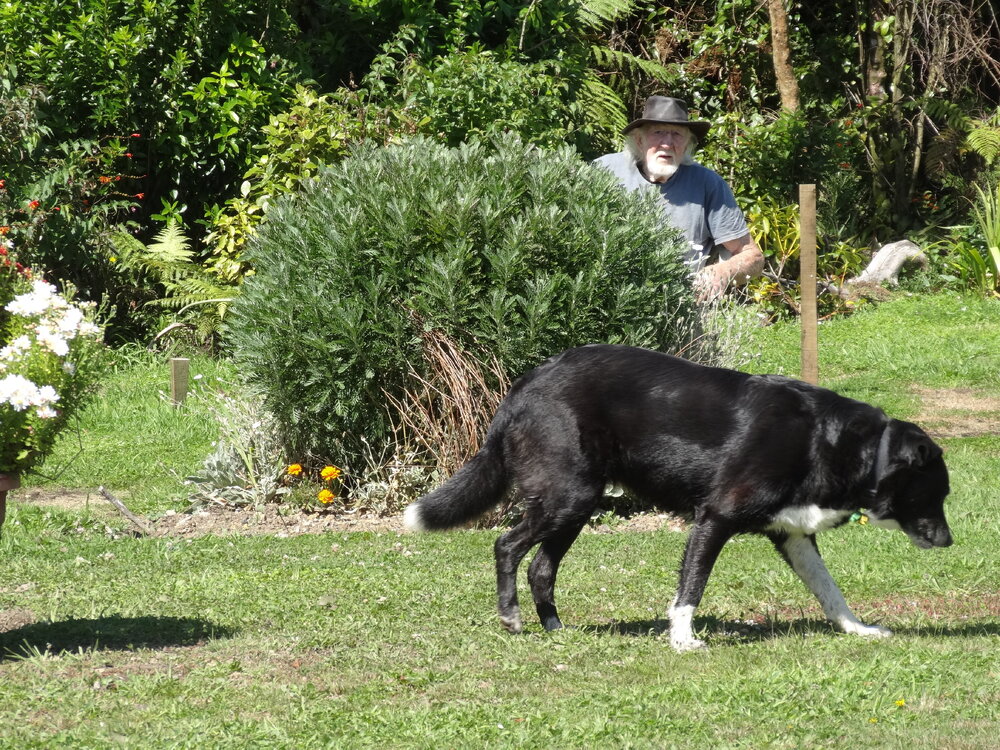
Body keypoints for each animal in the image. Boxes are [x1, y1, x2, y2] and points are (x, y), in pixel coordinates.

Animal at [403, 344, 952, 651]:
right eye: (938, 492)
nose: (949, 542)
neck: (841, 443)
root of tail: (525, 384)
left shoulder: (793, 536)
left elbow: (830, 590)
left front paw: (857, 630)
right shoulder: (714, 518)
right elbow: (691, 589)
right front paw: (683, 641)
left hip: (577, 504)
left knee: (541, 566)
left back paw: (556, 629)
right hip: (566, 497)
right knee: (507, 546)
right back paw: (512, 617)